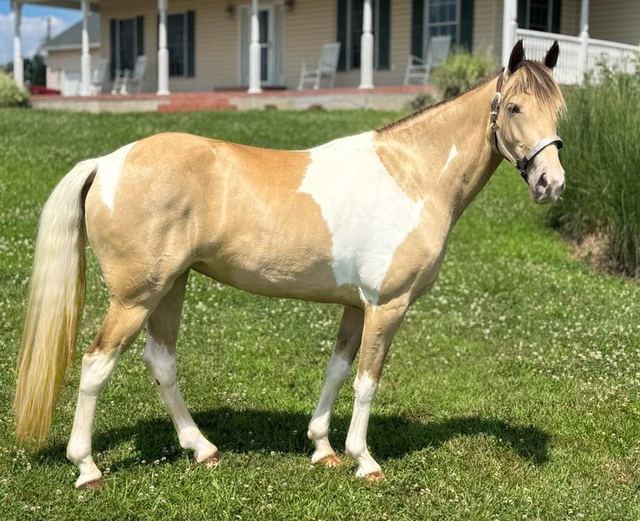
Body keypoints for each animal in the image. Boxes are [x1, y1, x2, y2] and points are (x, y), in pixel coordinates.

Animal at [14, 41, 566, 488]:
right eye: (514, 106)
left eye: (559, 110)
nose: (551, 183)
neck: (412, 175)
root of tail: (107, 162)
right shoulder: (387, 306)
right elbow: (367, 380)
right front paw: (364, 460)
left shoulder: (355, 306)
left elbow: (338, 370)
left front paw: (322, 447)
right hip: (135, 297)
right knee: (96, 363)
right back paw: (86, 467)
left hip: (170, 286)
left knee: (162, 362)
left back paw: (202, 449)